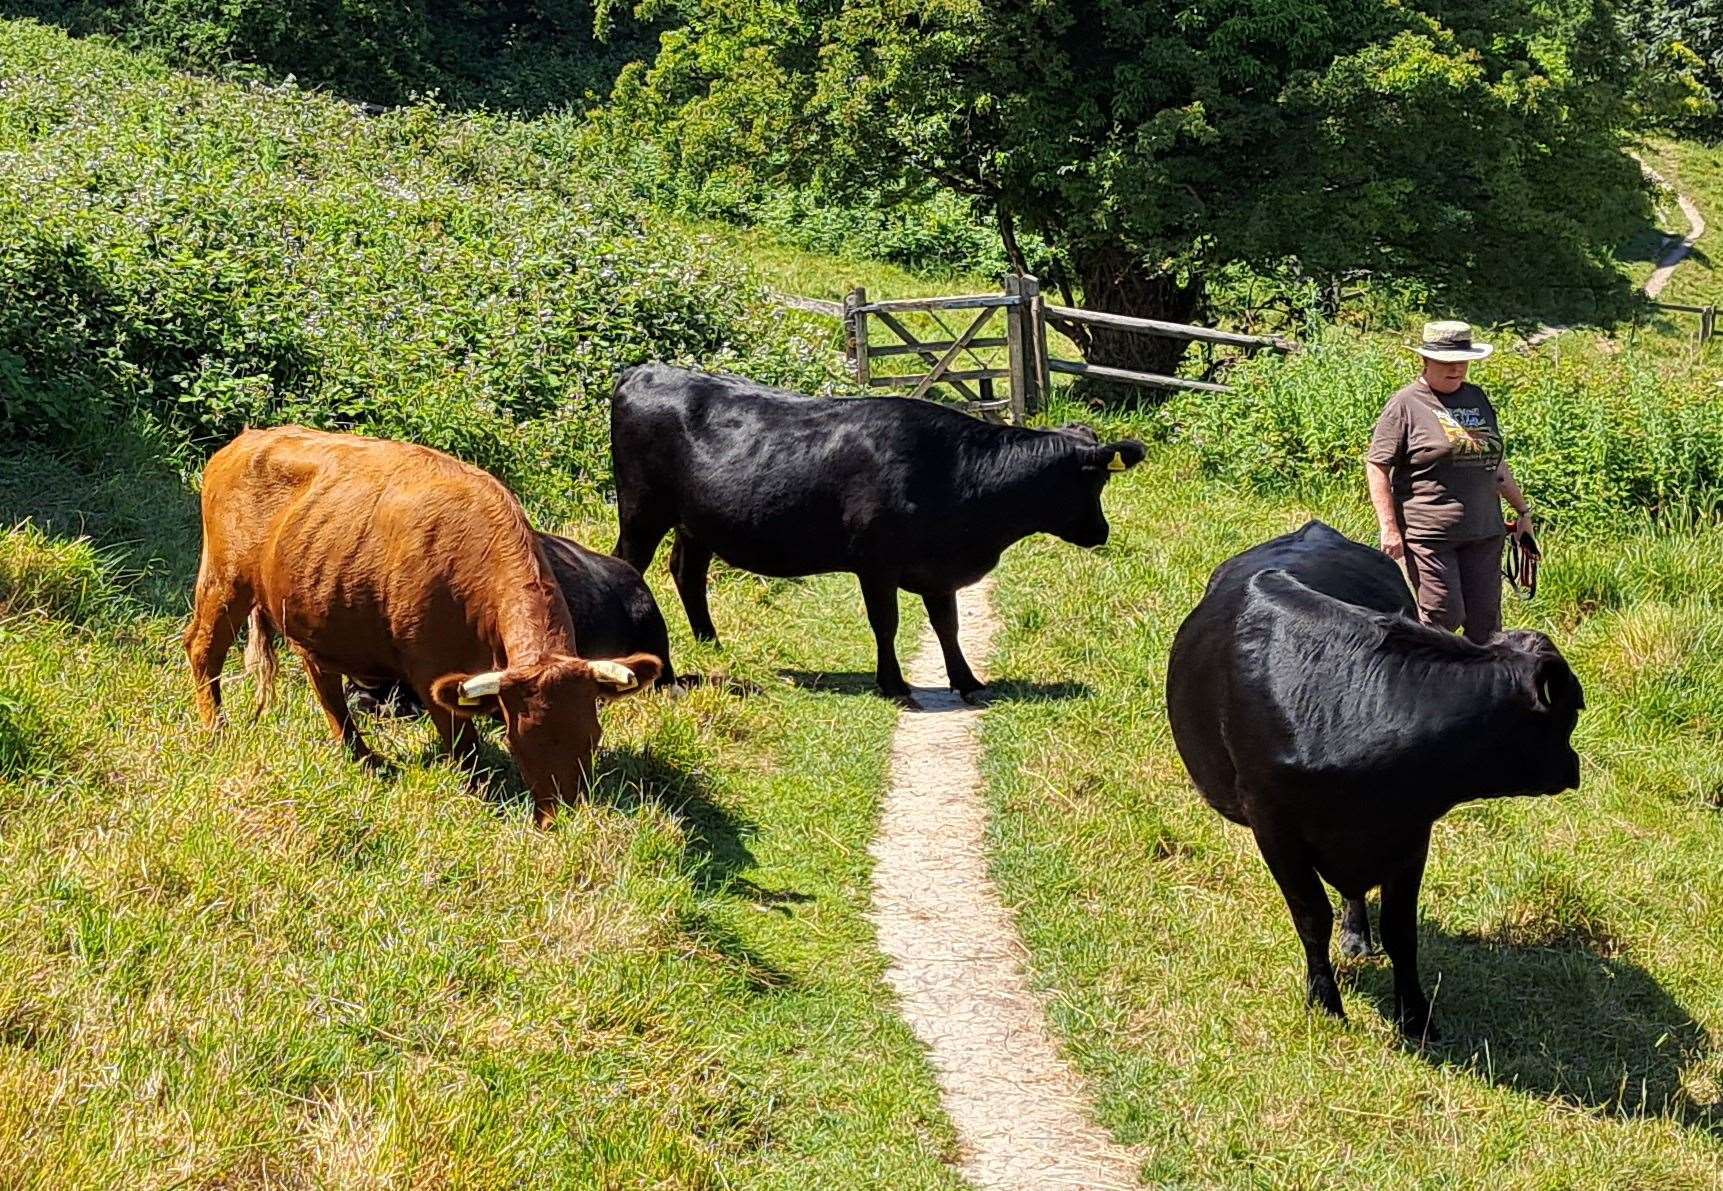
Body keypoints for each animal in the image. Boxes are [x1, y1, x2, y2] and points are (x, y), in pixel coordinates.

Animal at [606, 360, 1144, 699]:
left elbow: (947, 625)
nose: (1101, 533)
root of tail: (646, 370)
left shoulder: (938, 569)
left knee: (688, 572)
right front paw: (894, 683)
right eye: (1094, 481)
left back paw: (710, 642)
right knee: (630, 566)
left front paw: (967, 681)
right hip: (642, 513)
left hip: (696, 523)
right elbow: (886, 623)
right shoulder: (877, 564)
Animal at [1164, 527, 1578, 1041]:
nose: (1573, 767)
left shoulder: (1409, 833)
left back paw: (1358, 936)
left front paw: (1417, 1017)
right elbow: (1311, 916)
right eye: (1572, 711)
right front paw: (1325, 1003)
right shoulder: (1273, 828)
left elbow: (1401, 930)